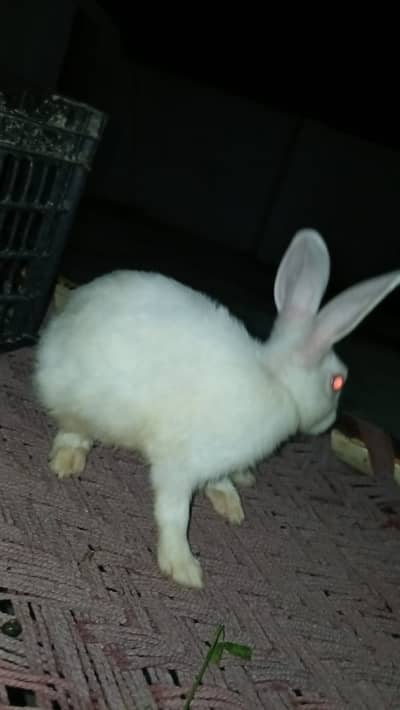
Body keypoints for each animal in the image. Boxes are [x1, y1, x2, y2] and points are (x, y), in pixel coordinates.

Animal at [33, 228, 400, 588]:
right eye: (337, 383)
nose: (331, 422)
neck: (277, 381)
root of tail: (62, 321)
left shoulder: (215, 462)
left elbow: (219, 481)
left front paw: (231, 503)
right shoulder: (178, 465)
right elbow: (174, 513)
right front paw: (183, 566)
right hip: (82, 401)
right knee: (72, 429)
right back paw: (68, 460)